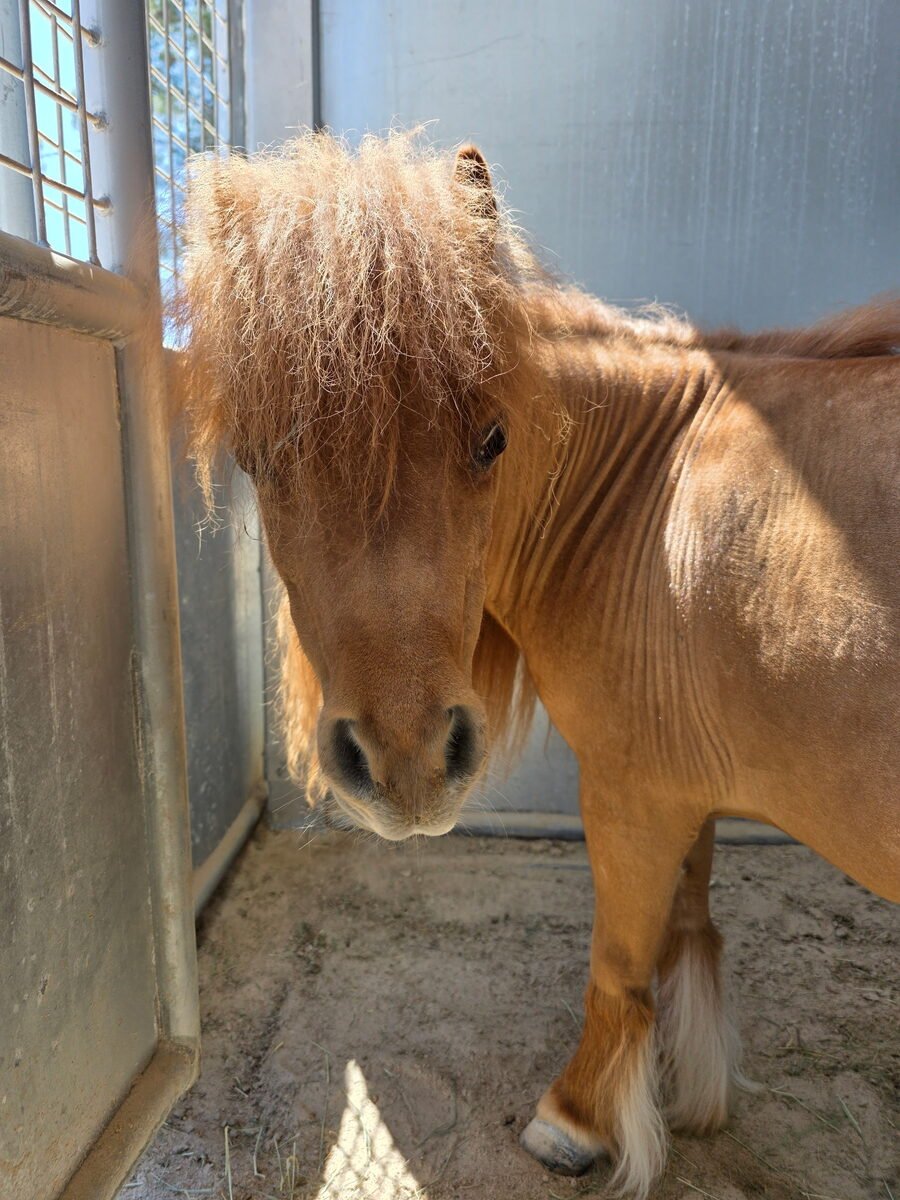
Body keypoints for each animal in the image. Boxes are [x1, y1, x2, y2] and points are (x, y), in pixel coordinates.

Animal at [177, 131, 900, 1198]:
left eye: (491, 439)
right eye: (259, 457)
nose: (406, 761)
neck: (651, 492)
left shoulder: (635, 793)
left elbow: (621, 963)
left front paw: (577, 1121)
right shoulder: (689, 790)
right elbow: (690, 926)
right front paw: (693, 1091)